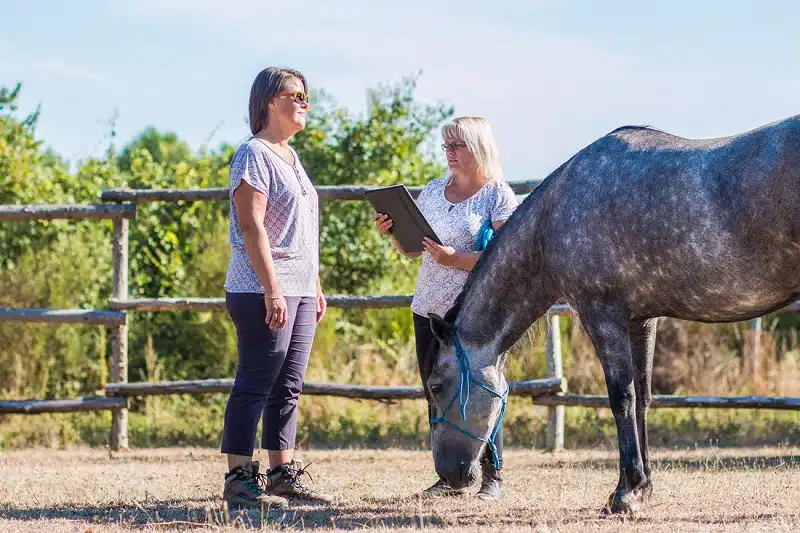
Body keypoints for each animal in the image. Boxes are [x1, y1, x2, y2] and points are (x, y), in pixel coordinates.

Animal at [428, 115, 796, 512]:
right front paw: (643, 486)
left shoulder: (603, 316)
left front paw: (625, 492)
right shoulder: (642, 321)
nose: (448, 475)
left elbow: (622, 398)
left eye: (434, 385)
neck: (551, 221)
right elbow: (644, 398)